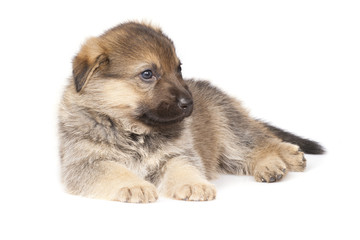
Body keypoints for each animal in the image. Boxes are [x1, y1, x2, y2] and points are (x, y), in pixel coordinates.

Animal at [58, 22, 324, 202]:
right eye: (147, 74)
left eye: (178, 69)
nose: (189, 103)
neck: (134, 130)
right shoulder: (85, 164)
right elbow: (113, 171)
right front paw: (134, 185)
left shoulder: (178, 155)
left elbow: (183, 168)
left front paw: (194, 185)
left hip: (230, 132)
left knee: (259, 141)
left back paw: (280, 160)